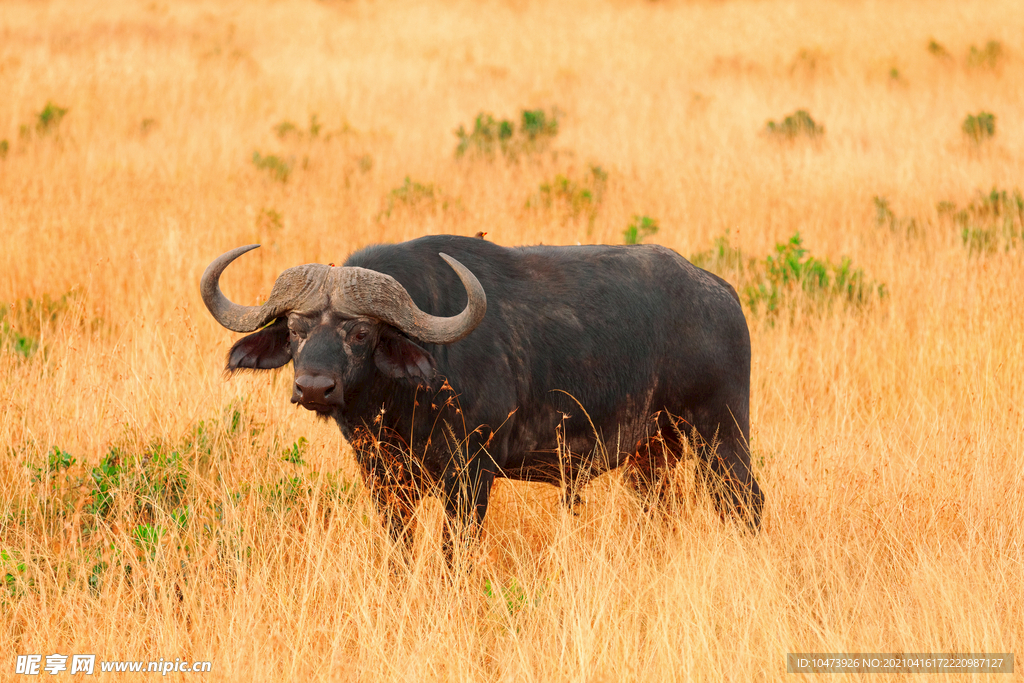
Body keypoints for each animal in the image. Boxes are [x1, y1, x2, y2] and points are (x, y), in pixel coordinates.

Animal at [197, 235, 761, 548]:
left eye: (361, 333)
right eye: (295, 329)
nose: (314, 387)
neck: (406, 400)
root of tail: (720, 294)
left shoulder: (470, 477)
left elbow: (455, 552)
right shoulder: (384, 478)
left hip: (722, 435)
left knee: (746, 504)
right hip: (653, 456)